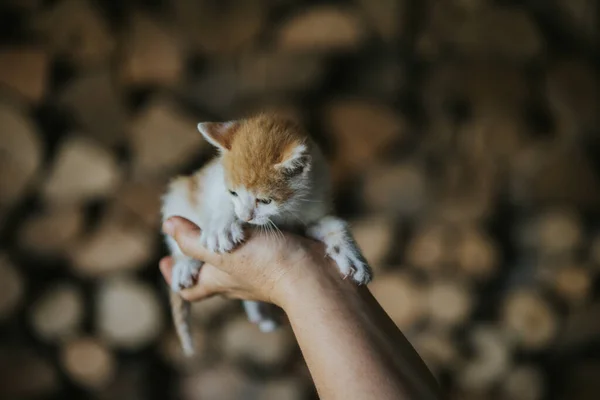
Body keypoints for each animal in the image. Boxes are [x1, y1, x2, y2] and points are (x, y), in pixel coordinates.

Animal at [162, 114, 372, 354]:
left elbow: (335, 225)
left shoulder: (315, 205)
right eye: (233, 192)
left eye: (265, 200)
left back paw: (260, 316)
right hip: (179, 194)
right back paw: (184, 264)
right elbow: (221, 203)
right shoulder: (213, 183)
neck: (287, 211)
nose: (246, 217)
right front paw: (222, 226)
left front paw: (352, 257)